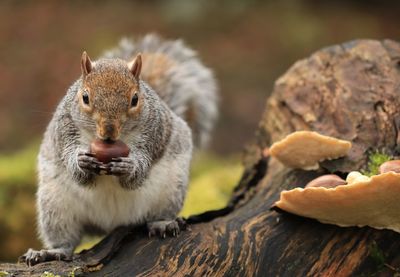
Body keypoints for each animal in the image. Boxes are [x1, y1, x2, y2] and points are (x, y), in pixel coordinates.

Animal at [20, 33, 217, 264]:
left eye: (135, 99)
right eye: (85, 97)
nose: (109, 131)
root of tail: (112, 222)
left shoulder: (156, 133)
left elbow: (139, 171)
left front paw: (128, 167)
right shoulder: (63, 130)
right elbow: (73, 163)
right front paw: (80, 162)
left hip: (171, 191)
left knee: (156, 215)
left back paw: (162, 224)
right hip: (55, 206)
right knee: (66, 240)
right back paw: (52, 252)